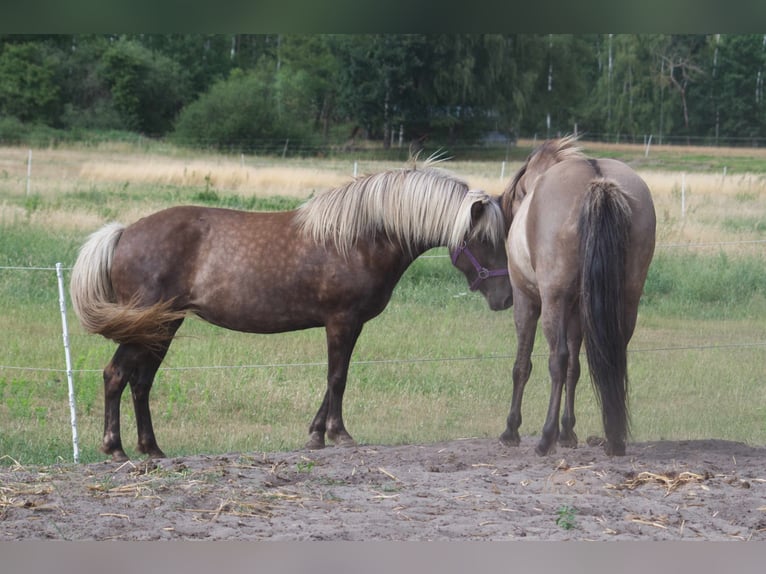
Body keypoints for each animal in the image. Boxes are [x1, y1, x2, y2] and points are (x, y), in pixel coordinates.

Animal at [72, 163, 512, 464]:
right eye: (485, 239)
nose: (506, 298)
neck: (361, 238)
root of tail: (123, 234)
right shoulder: (342, 321)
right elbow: (337, 378)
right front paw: (338, 434)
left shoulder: (347, 325)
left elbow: (333, 380)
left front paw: (315, 435)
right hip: (149, 326)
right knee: (116, 375)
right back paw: (115, 448)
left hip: (162, 326)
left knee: (140, 382)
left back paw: (152, 449)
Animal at [500, 137, 656, 456]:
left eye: (520, 194)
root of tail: (597, 180)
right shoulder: (577, 312)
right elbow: (576, 367)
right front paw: (568, 431)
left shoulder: (527, 302)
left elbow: (523, 366)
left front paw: (512, 429)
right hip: (626, 300)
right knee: (613, 357)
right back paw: (614, 439)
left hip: (553, 302)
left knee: (556, 360)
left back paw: (546, 437)